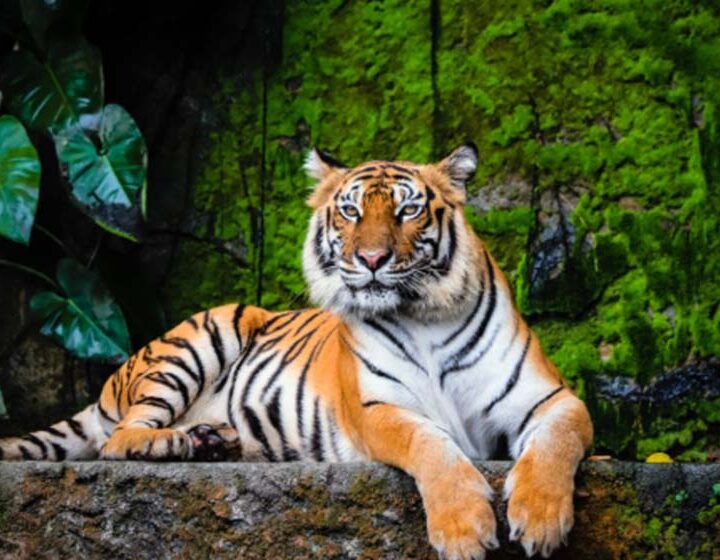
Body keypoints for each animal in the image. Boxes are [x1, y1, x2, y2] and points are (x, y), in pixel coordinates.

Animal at [0, 144, 593, 560]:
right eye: (350, 211)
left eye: (407, 212)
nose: (372, 259)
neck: (423, 314)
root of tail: (111, 382)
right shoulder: (378, 410)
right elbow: (432, 447)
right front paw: (466, 530)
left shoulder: (552, 399)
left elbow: (556, 444)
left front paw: (541, 520)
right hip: (203, 335)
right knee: (119, 439)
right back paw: (169, 442)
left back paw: (212, 440)